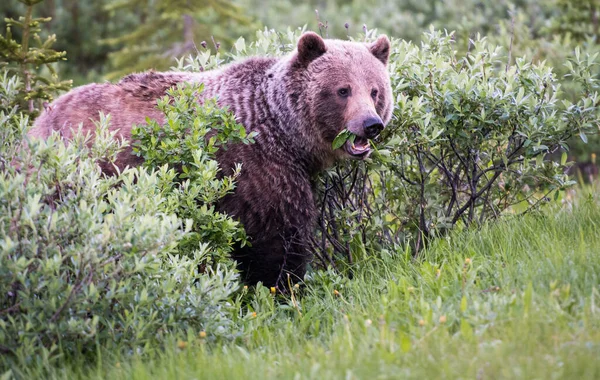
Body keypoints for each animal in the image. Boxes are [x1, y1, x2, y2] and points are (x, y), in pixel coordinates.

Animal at [29, 31, 394, 288]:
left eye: (375, 90)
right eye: (342, 90)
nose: (371, 124)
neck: (285, 131)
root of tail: (37, 123)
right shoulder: (255, 170)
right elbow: (278, 239)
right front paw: (285, 290)